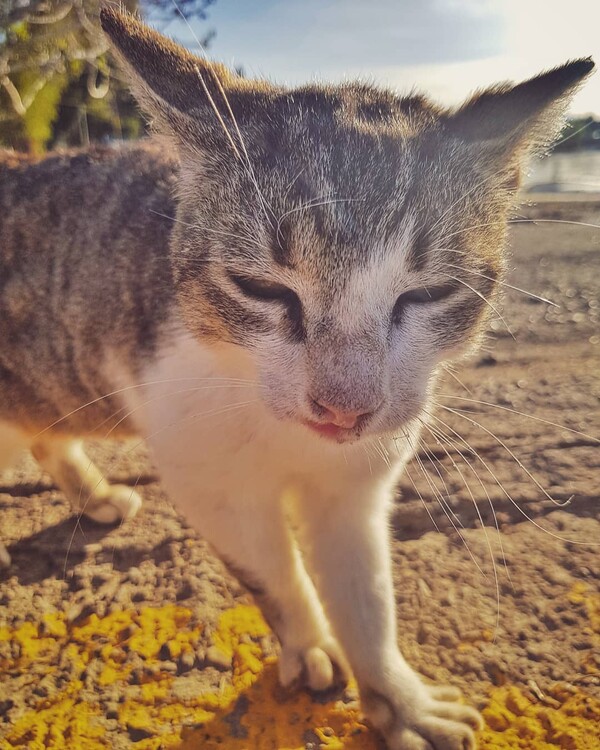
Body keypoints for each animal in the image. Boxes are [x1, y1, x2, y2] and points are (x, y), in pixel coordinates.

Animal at [0, 7, 592, 750]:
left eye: (428, 294)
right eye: (261, 289)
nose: (344, 407)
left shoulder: (356, 485)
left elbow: (366, 595)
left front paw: (397, 700)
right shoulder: (208, 476)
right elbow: (274, 572)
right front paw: (309, 646)